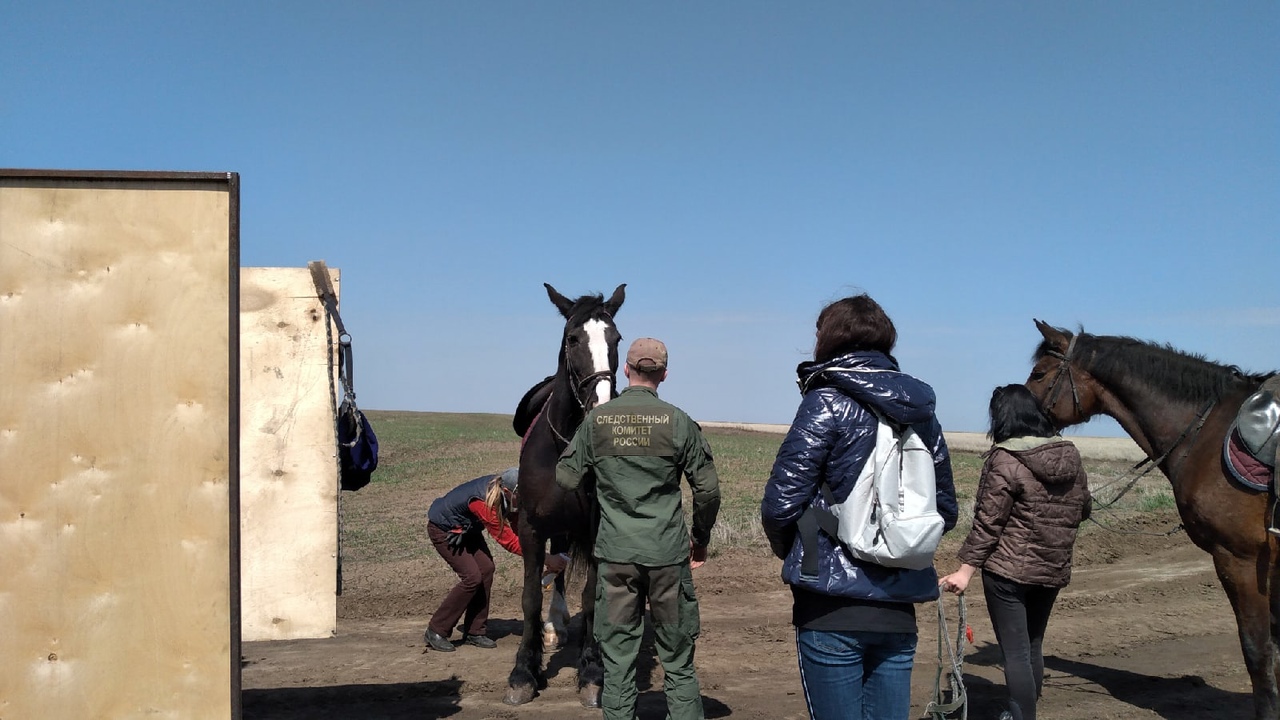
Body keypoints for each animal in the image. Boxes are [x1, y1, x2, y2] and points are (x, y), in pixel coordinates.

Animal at [501, 281, 622, 707]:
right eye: (572, 339)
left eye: (616, 339)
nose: (601, 406)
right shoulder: (532, 530)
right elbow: (530, 598)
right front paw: (524, 671)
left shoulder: (596, 530)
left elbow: (590, 597)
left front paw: (592, 671)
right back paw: (554, 627)